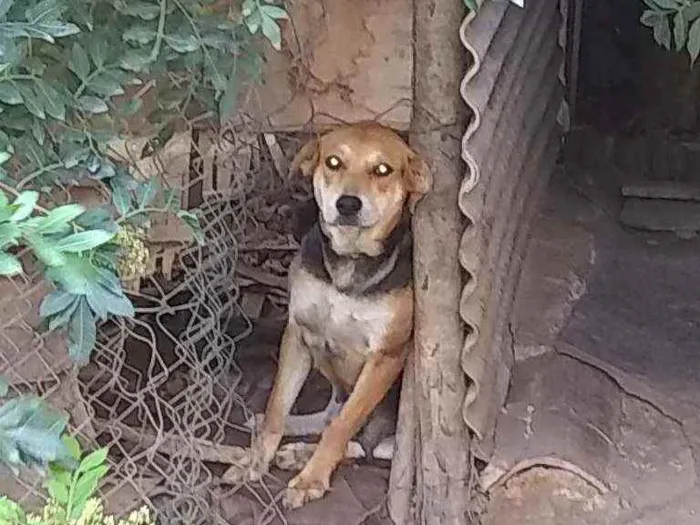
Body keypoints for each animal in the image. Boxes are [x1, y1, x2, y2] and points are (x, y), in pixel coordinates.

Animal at [227, 122, 430, 508]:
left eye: (382, 170)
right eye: (334, 162)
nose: (347, 204)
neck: (348, 265)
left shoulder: (386, 356)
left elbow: (342, 428)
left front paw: (311, 480)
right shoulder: (297, 333)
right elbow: (277, 408)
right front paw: (256, 459)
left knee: (364, 443)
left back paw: (303, 456)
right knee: (329, 416)